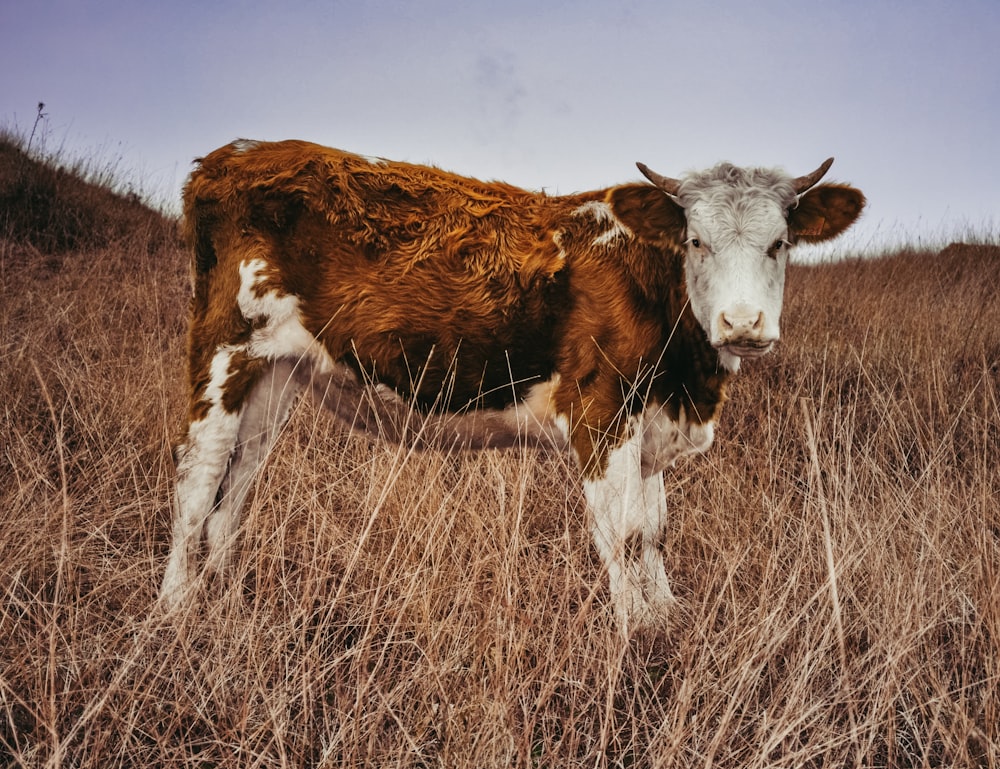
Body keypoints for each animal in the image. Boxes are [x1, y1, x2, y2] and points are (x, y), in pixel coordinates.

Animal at [158, 141, 868, 632]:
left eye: (780, 244)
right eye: (695, 240)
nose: (742, 323)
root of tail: (233, 156)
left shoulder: (651, 428)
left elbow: (654, 529)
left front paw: (666, 618)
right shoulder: (600, 411)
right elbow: (622, 534)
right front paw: (635, 639)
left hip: (273, 377)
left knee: (233, 492)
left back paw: (225, 604)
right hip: (222, 351)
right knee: (196, 482)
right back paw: (174, 613)